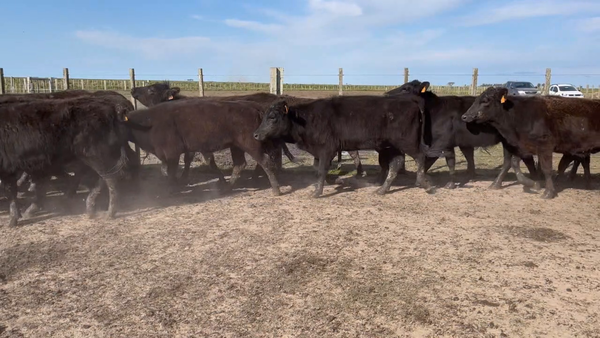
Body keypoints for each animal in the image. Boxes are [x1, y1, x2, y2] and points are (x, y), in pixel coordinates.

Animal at [0, 96, 132, 226]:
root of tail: (111, 108)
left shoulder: (8, 170)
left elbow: (10, 193)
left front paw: (12, 220)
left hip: (95, 156)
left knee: (110, 180)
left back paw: (109, 212)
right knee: (99, 179)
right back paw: (89, 207)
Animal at [125, 97, 284, 195]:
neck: (149, 122)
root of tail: (253, 107)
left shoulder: (172, 154)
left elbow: (171, 172)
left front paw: (173, 188)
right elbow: (167, 170)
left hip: (250, 144)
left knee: (265, 161)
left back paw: (276, 190)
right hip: (236, 146)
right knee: (240, 164)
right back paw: (227, 188)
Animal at [251, 94, 434, 198]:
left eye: (273, 117)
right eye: (264, 116)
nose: (256, 134)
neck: (308, 119)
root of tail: (411, 103)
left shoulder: (327, 149)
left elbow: (322, 169)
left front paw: (317, 192)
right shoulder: (320, 151)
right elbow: (318, 168)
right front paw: (330, 181)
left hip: (407, 142)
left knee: (420, 157)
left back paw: (423, 183)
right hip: (391, 147)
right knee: (396, 164)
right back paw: (382, 190)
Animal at [390, 80, 540, 189]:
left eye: (405, 88)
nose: (387, 94)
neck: (434, 111)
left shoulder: (442, 142)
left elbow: (437, 161)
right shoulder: (454, 143)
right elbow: (458, 159)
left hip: (508, 141)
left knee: (509, 161)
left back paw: (497, 184)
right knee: (526, 158)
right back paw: (535, 179)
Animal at [464, 87, 600, 198]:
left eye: (485, 100)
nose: (465, 116)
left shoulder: (545, 146)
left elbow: (546, 169)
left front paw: (548, 192)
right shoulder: (522, 146)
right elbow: (512, 163)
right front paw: (533, 183)